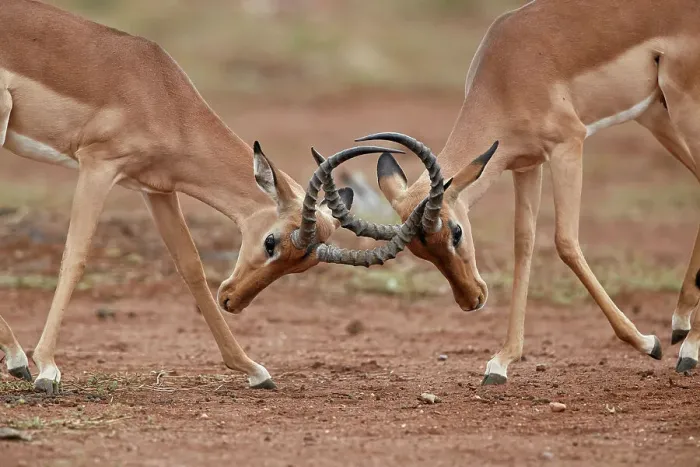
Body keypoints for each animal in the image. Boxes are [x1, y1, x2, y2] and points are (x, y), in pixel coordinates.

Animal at [0, 0, 446, 394]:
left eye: (302, 265)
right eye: (271, 242)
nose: (233, 300)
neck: (160, 94)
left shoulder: (157, 189)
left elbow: (191, 267)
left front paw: (253, 370)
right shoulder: (97, 166)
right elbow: (75, 257)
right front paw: (48, 369)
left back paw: (16, 359)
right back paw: (23, 360)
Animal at [322, 0, 700, 384]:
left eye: (456, 231)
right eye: (420, 251)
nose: (471, 300)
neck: (507, 73)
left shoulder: (568, 145)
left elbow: (565, 241)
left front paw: (647, 343)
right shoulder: (525, 164)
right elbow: (524, 245)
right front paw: (501, 362)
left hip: (684, 109)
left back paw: (687, 346)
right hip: (656, 114)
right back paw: (681, 328)